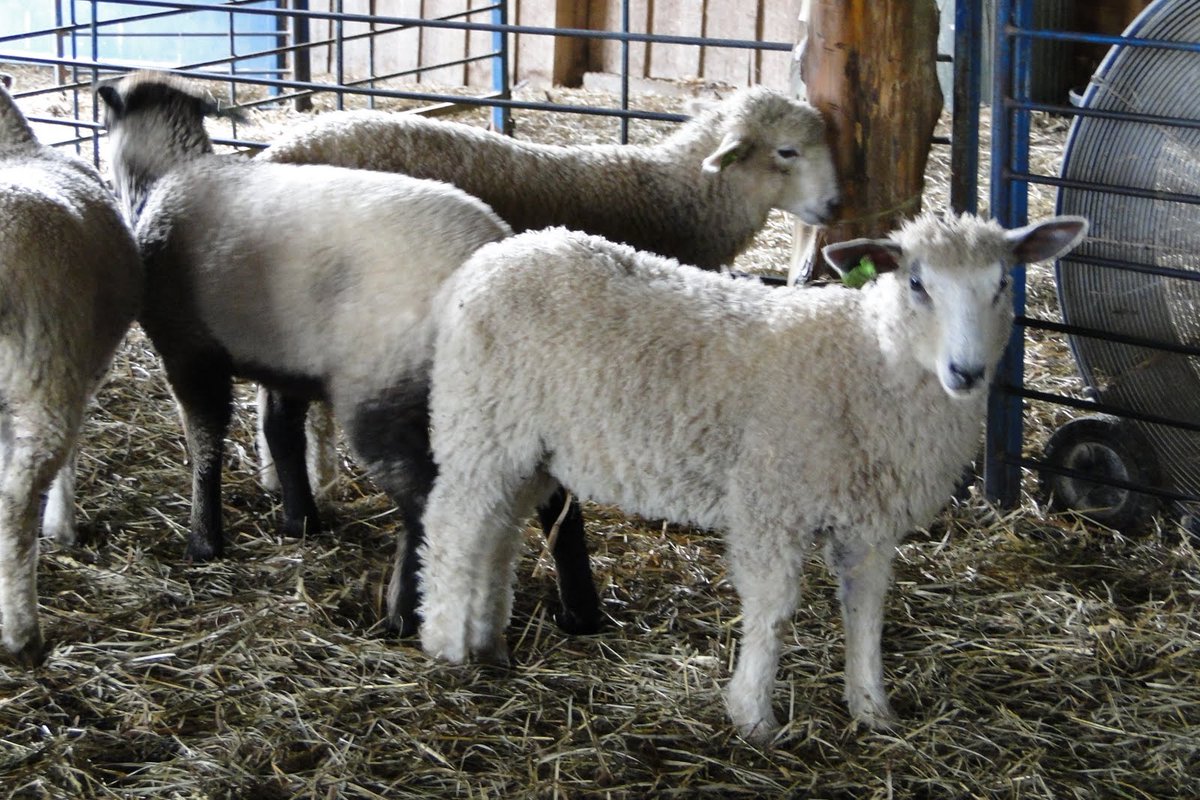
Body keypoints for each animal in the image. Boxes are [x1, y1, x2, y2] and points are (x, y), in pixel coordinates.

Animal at [97, 71, 513, 635]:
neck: (165, 175)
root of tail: (488, 253)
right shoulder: (285, 361)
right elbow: (282, 434)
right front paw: (300, 521)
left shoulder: (188, 350)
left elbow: (206, 443)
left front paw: (204, 542)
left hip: (382, 389)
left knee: (426, 499)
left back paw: (404, 612)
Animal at [416, 213, 1089, 743]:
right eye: (918, 283)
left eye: (1003, 283)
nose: (966, 372)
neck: (870, 360)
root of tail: (492, 258)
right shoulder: (771, 502)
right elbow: (772, 608)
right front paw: (753, 714)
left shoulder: (871, 520)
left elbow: (867, 609)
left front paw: (872, 708)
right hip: (480, 424)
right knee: (453, 528)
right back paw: (446, 646)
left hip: (528, 449)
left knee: (496, 534)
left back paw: (487, 641)